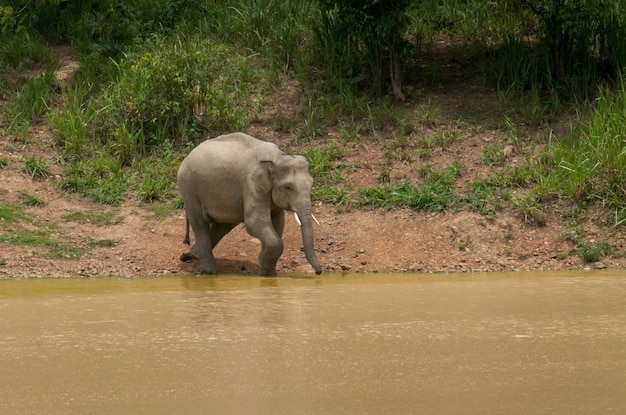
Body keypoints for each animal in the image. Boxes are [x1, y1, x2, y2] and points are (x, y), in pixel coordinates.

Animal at [176, 133, 322, 276]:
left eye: (311, 184)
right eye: (288, 187)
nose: (318, 272)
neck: (277, 157)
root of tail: (187, 156)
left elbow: (278, 221)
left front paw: (268, 272)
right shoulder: (252, 183)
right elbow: (254, 222)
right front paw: (262, 260)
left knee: (223, 226)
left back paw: (191, 255)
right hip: (189, 187)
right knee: (201, 224)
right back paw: (208, 270)